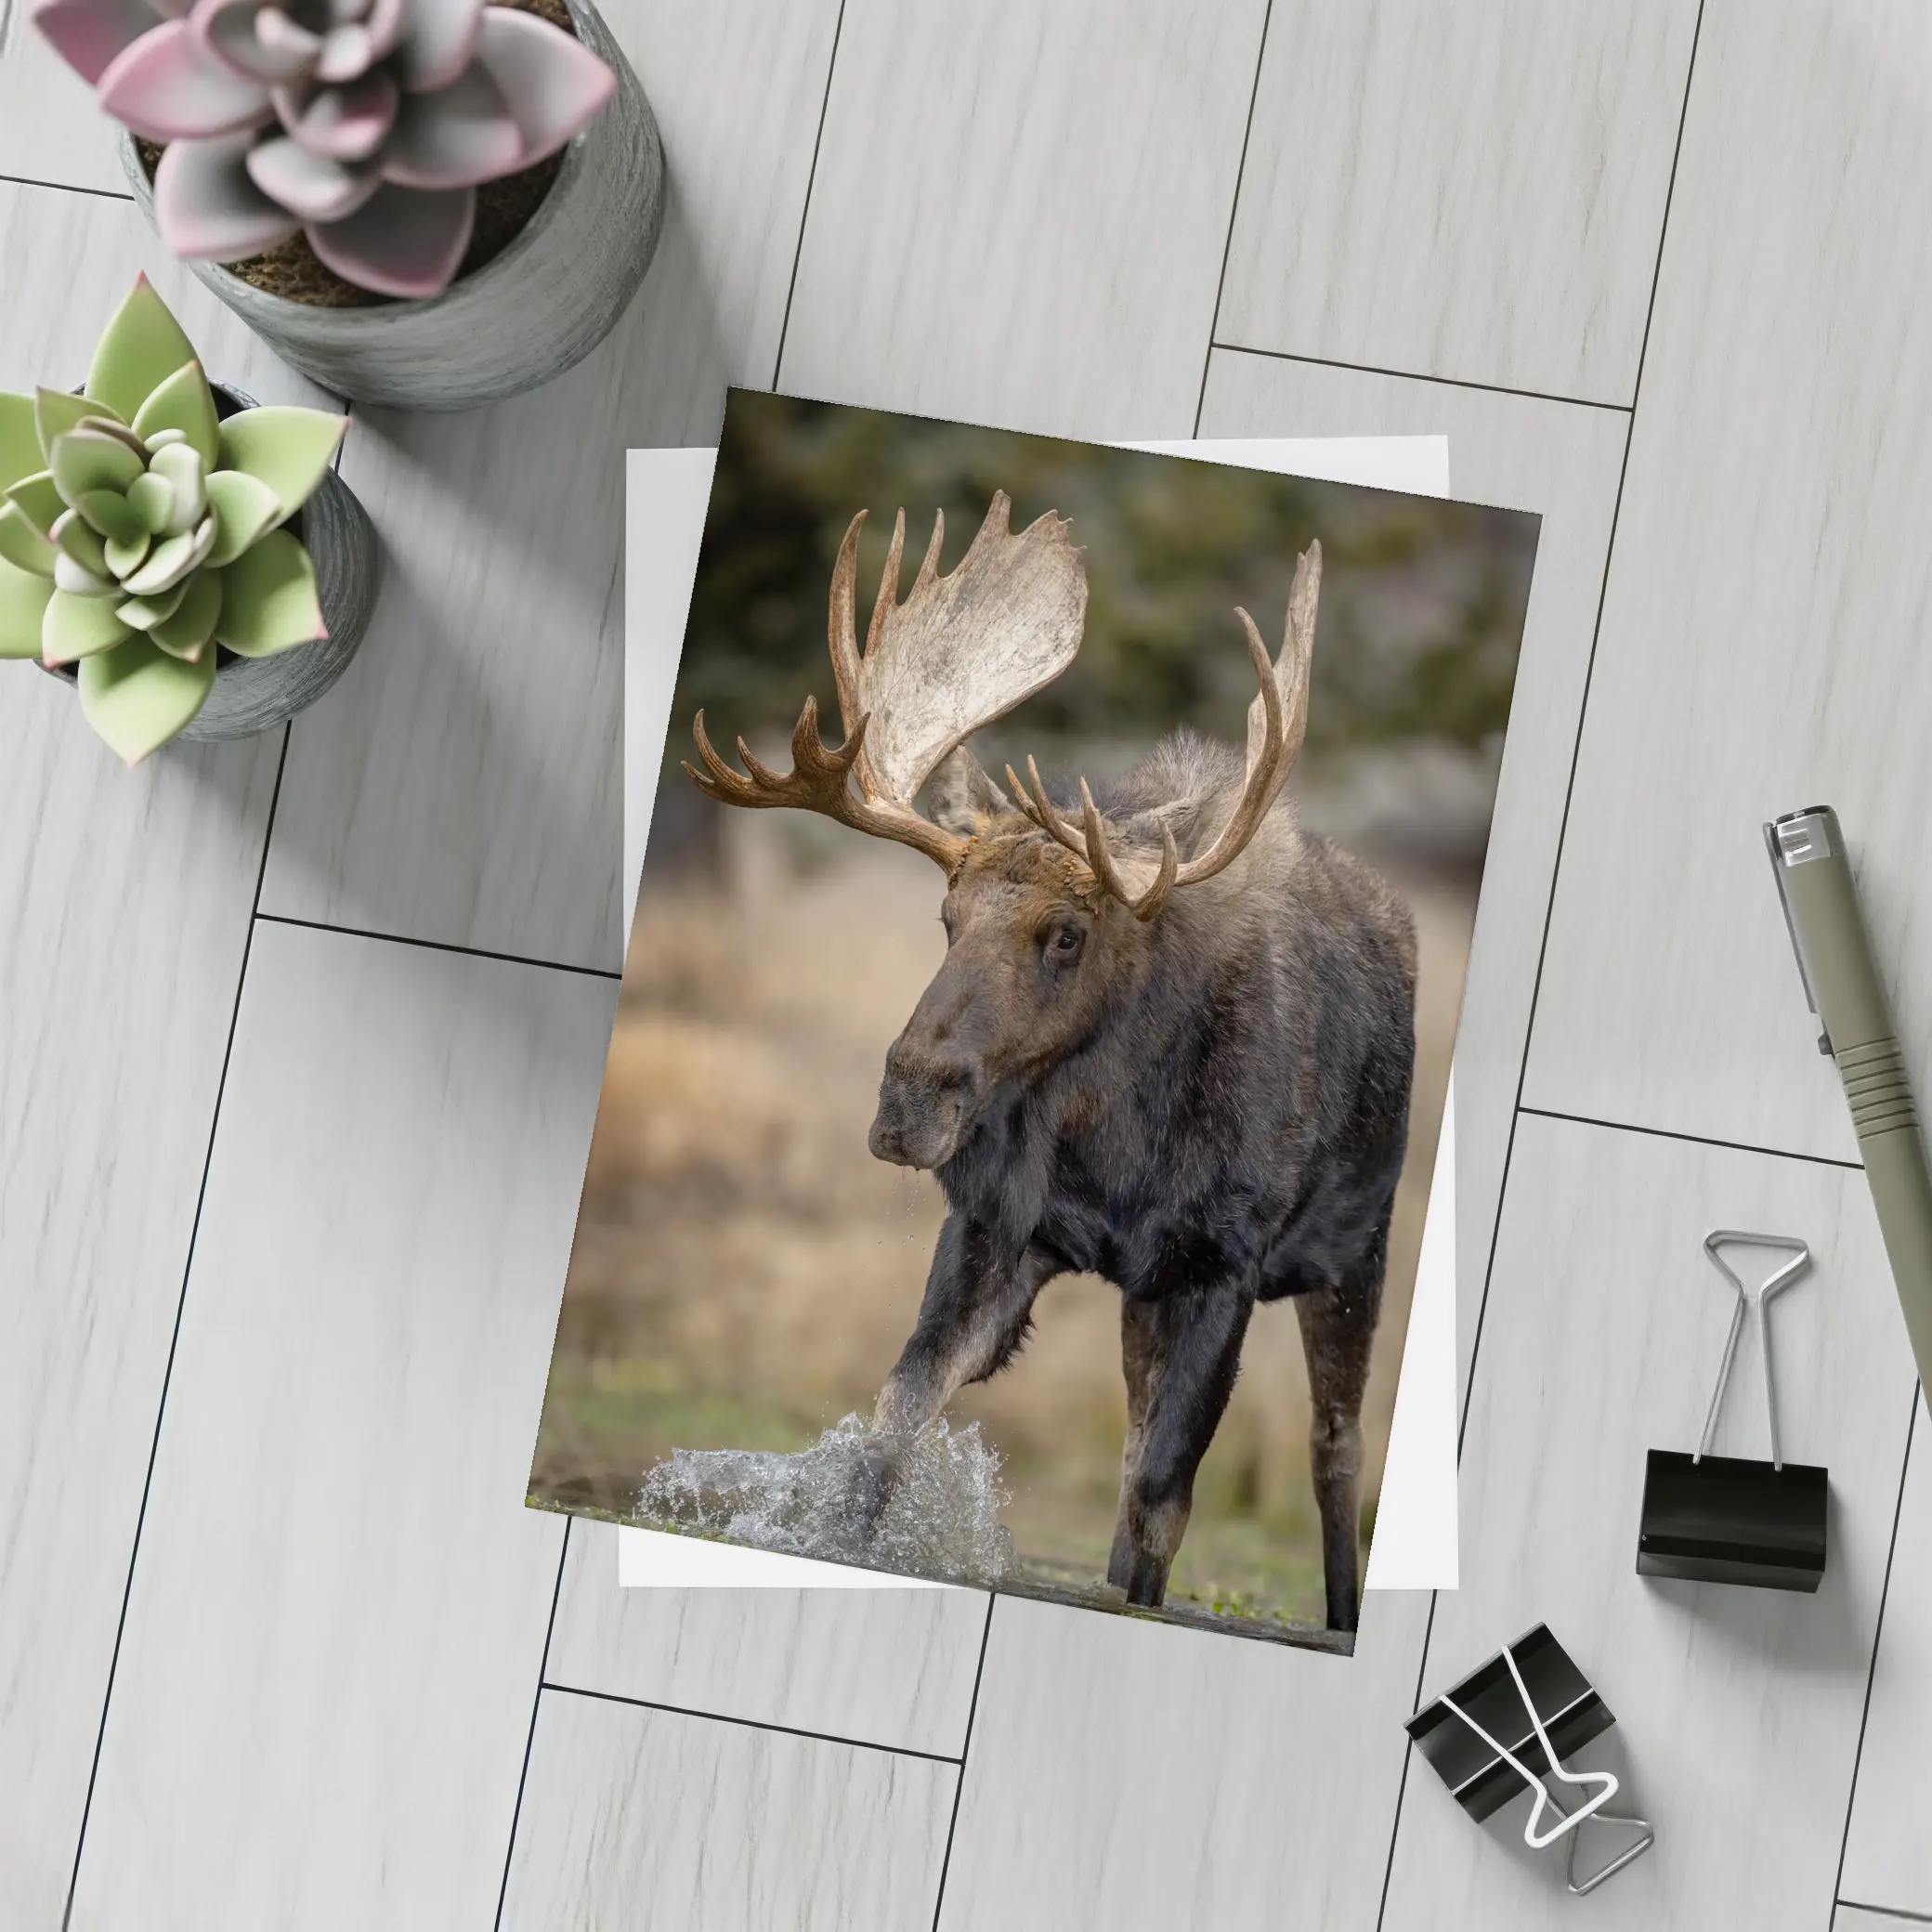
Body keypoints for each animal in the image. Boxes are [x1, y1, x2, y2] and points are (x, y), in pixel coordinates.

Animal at [683, 491, 1417, 1632]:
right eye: (946, 917)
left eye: (1066, 934)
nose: (908, 1099)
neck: (1115, 1147)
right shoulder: (1001, 1224)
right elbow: (893, 1422)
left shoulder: (1224, 1262)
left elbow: (1166, 1498)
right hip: (1148, 1296)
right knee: (1132, 1448)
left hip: (1354, 1254)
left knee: (1332, 1449)